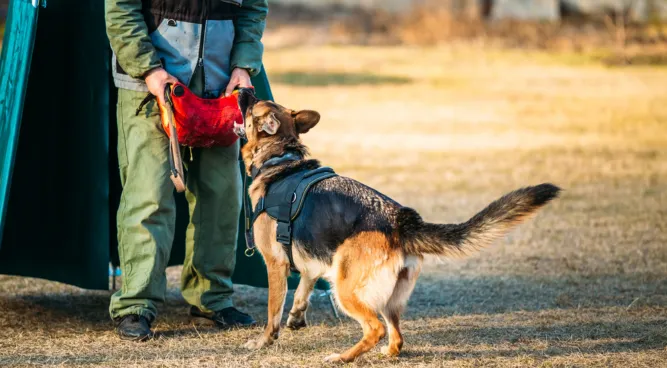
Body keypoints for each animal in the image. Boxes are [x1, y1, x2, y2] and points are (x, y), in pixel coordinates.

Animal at [235, 90, 560, 362]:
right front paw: (296, 317)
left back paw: (342, 358)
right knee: (396, 337)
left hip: (346, 289)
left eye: (253, 105)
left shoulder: (275, 263)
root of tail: (402, 222)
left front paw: (263, 341)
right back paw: (384, 354)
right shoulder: (312, 260)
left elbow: (273, 312)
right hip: (387, 298)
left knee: (375, 329)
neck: (280, 158)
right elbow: (303, 289)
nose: (243, 89)